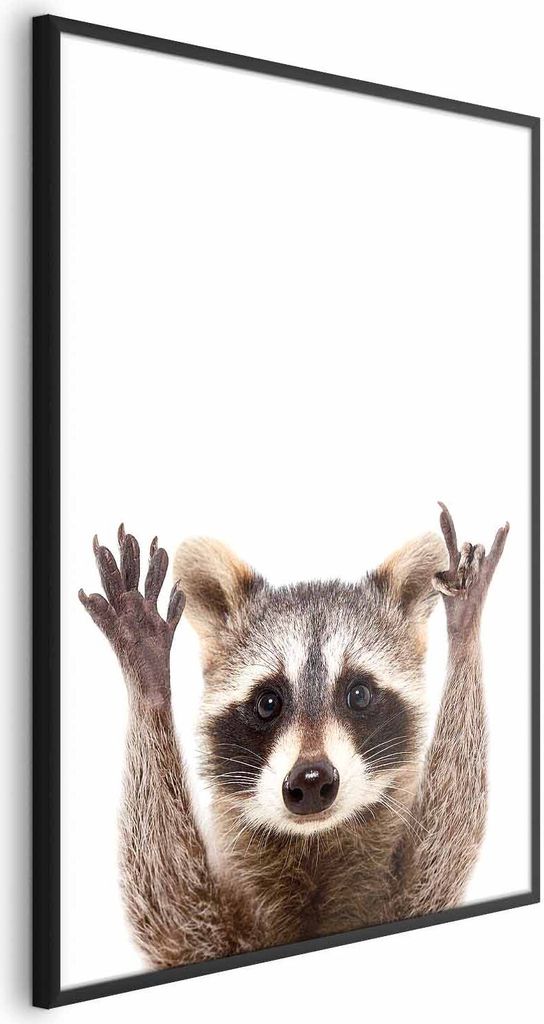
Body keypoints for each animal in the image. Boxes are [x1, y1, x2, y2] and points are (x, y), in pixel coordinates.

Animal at [79, 504, 508, 968]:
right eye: (268, 702)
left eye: (358, 694)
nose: (312, 779)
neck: (314, 845)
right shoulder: (203, 930)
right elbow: (168, 904)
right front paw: (148, 678)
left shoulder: (408, 895)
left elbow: (446, 843)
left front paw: (464, 626)